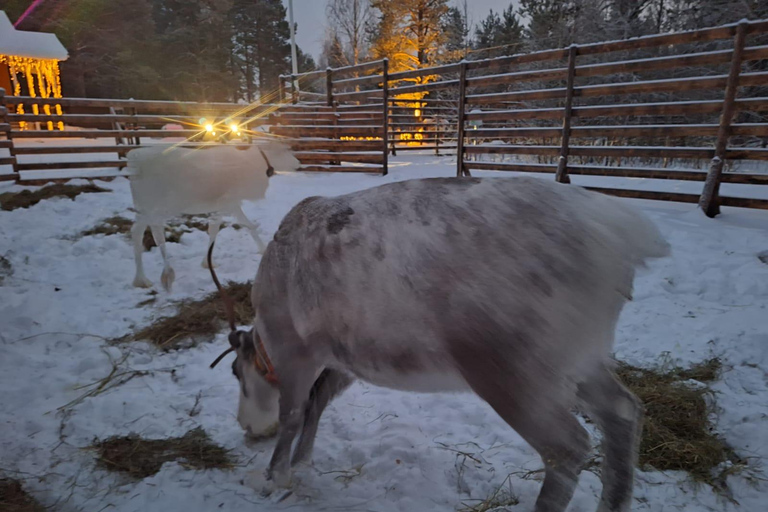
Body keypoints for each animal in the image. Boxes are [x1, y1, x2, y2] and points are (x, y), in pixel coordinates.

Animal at [126, 142, 299, 292]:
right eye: (285, 150)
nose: (298, 165)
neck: (258, 163)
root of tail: (133, 158)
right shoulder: (228, 201)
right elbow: (239, 225)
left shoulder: (228, 203)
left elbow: (223, 227)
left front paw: (208, 262)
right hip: (157, 206)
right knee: (154, 231)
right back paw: (157, 275)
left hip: (143, 207)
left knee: (137, 231)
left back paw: (140, 279)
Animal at [210, 175, 670, 512]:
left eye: (235, 370)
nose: (246, 427)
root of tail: (624, 240)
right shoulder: (344, 359)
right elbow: (317, 403)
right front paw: (302, 462)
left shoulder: (296, 350)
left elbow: (293, 413)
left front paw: (274, 477)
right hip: (581, 358)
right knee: (623, 411)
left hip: (512, 371)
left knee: (568, 447)